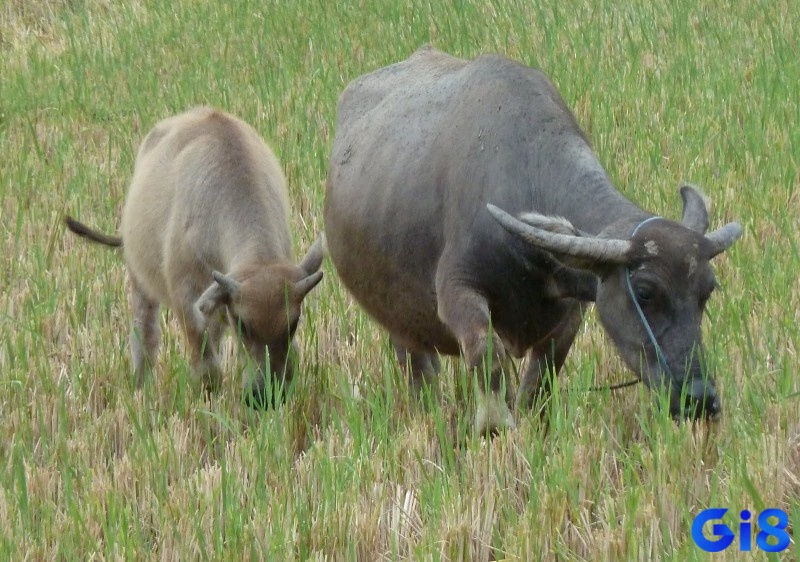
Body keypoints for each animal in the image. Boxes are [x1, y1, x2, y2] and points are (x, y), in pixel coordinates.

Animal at [65, 104, 322, 402]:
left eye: (293, 324)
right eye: (243, 324)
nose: (262, 396)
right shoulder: (186, 297)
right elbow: (206, 366)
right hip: (139, 280)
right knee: (145, 330)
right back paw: (141, 382)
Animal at [322, 47, 740, 434]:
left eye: (707, 291)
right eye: (645, 292)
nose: (699, 398)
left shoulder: (570, 314)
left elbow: (539, 383)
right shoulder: (457, 291)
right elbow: (488, 358)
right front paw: (493, 426)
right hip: (398, 321)